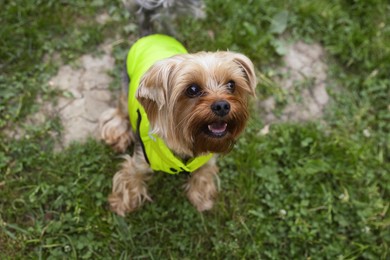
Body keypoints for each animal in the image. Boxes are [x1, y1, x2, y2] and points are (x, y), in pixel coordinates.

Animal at [100, 1, 256, 217]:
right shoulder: (140, 160)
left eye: (231, 85)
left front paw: (202, 199)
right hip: (126, 85)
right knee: (120, 108)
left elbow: (204, 174)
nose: (223, 105)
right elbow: (130, 176)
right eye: (192, 89)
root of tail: (151, 34)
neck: (187, 143)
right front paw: (122, 204)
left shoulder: (207, 158)